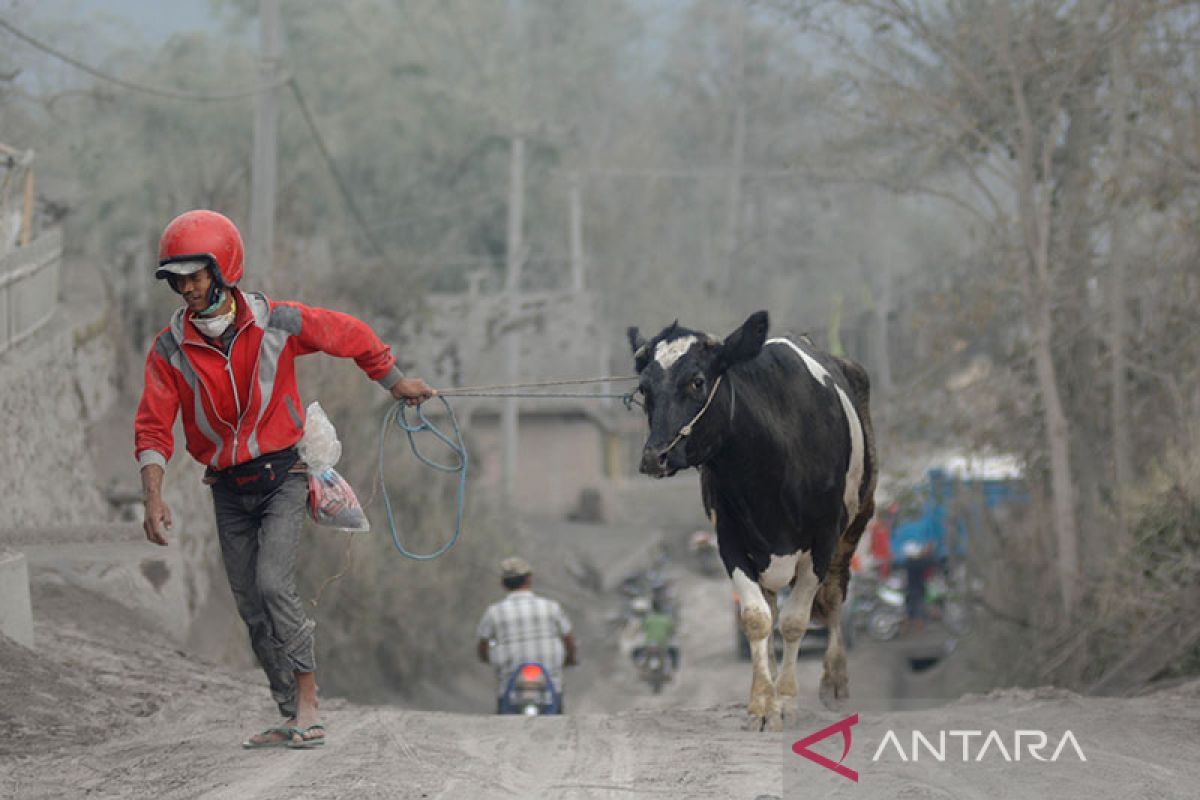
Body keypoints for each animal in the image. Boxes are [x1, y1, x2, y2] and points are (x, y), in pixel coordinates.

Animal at [628, 311, 883, 734]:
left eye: (697, 381)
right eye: (644, 388)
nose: (654, 457)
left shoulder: (823, 537)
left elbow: (796, 621)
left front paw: (789, 701)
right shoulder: (729, 536)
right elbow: (756, 618)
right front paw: (763, 704)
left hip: (858, 517)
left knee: (832, 597)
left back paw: (834, 681)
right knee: (772, 607)